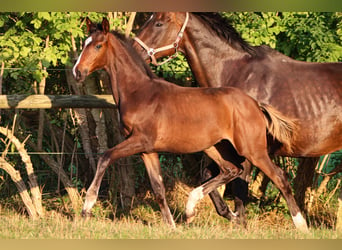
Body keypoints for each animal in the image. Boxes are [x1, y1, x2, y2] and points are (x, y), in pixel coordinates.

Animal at [73, 17, 308, 232]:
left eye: (98, 46)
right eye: (84, 43)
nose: (77, 72)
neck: (139, 92)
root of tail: (255, 103)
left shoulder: (139, 140)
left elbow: (105, 157)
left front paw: (87, 207)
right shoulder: (147, 150)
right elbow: (158, 189)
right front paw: (171, 227)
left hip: (252, 150)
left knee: (278, 176)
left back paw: (302, 225)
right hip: (215, 146)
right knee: (231, 170)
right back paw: (192, 208)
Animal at [133, 11, 342, 224]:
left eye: (158, 23)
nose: (133, 50)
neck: (237, 73)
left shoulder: (246, 154)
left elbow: (240, 189)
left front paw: (238, 221)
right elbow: (209, 176)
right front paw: (227, 215)